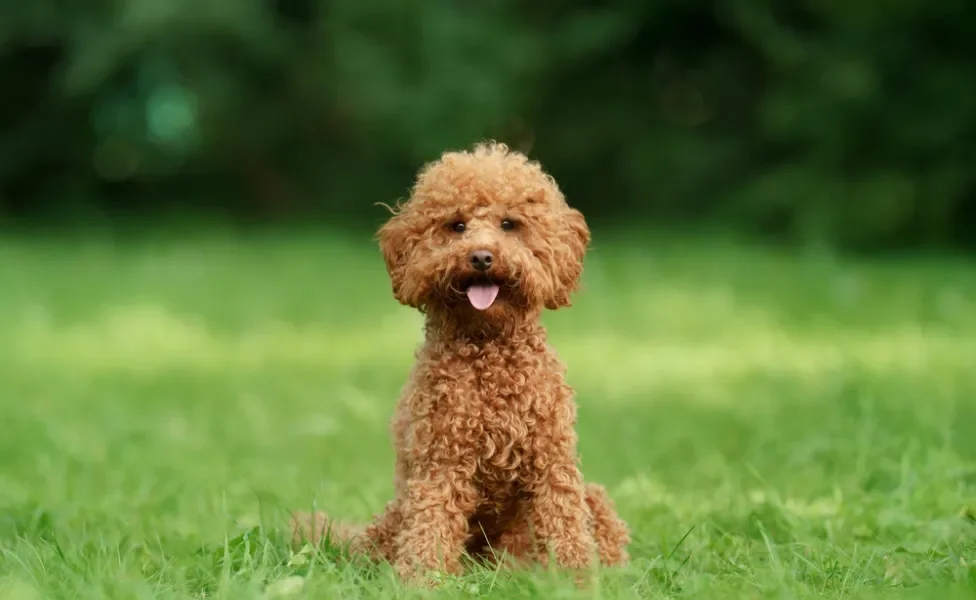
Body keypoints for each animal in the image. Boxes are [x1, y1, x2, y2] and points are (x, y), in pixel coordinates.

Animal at [290, 139, 628, 580]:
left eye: (509, 224)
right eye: (457, 225)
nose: (482, 257)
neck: (488, 350)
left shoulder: (551, 460)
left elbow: (564, 521)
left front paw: (577, 580)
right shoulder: (441, 461)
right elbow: (431, 522)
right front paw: (421, 579)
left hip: (592, 501)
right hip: (393, 520)